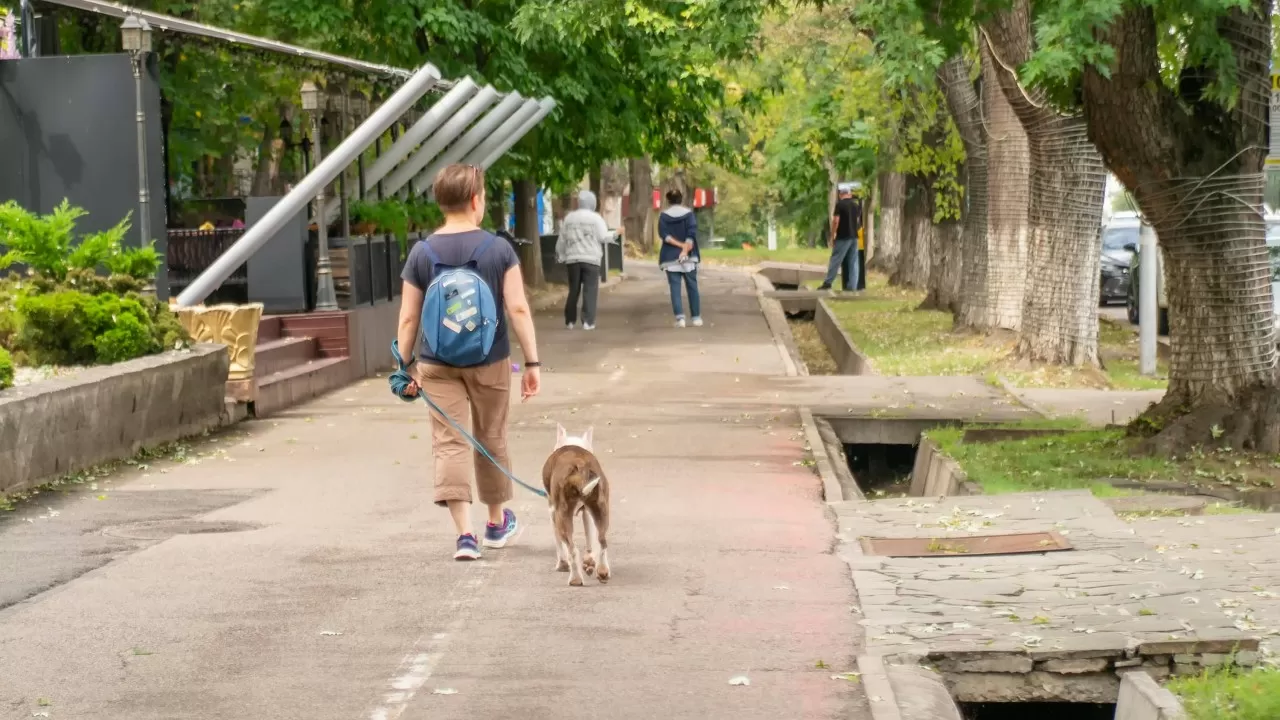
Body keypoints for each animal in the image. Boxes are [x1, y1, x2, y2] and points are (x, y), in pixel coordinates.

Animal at [542, 425, 611, 584]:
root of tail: (580, 464)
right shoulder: (587, 512)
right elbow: (590, 535)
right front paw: (589, 561)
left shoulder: (552, 513)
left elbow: (559, 543)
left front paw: (561, 564)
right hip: (600, 508)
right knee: (602, 541)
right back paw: (602, 570)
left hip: (562, 515)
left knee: (572, 549)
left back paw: (575, 579)